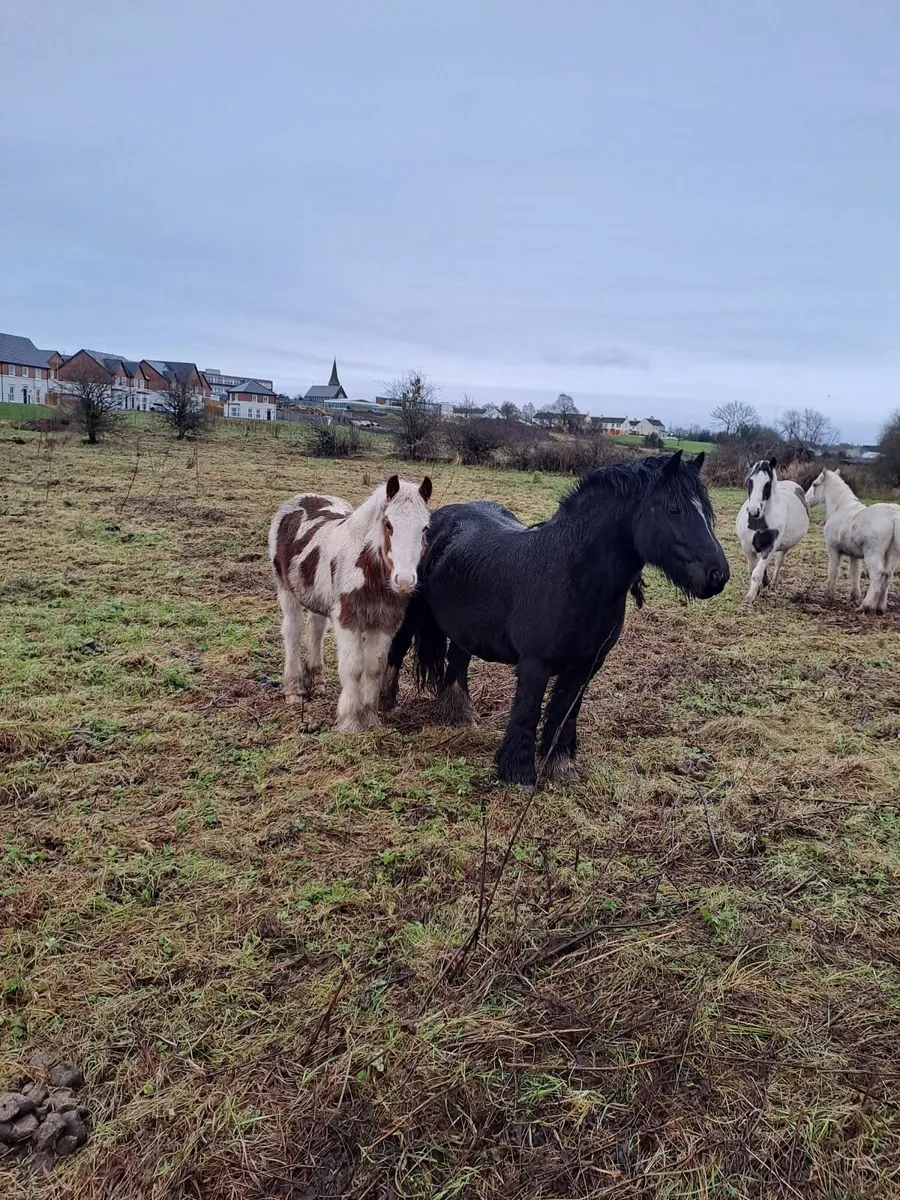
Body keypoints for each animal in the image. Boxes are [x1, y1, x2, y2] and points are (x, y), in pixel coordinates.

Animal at [268, 474, 432, 732]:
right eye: (389, 524)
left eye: (424, 527)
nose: (405, 581)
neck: (367, 570)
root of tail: (304, 497)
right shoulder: (348, 619)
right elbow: (353, 667)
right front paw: (350, 722)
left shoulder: (385, 623)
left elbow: (374, 668)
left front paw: (370, 720)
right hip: (286, 591)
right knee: (292, 633)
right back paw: (294, 690)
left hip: (319, 598)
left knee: (315, 631)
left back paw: (317, 680)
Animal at [382, 452, 729, 786]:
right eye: (673, 508)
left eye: (706, 510)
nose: (718, 575)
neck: (571, 574)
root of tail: (440, 518)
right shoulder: (535, 664)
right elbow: (528, 712)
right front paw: (518, 772)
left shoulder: (586, 666)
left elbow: (564, 712)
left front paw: (560, 767)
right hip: (411, 613)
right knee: (396, 652)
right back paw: (383, 706)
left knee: (458, 660)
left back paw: (460, 716)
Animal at [735, 458, 809, 606]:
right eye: (750, 481)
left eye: (767, 484)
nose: (753, 511)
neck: (759, 522)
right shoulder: (748, 548)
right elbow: (753, 570)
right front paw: (757, 590)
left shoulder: (770, 547)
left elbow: (757, 572)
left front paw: (750, 596)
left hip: (784, 547)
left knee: (778, 563)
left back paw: (772, 584)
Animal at [805, 468, 900, 613]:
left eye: (815, 484)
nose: (805, 500)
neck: (840, 509)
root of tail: (893, 515)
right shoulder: (854, 555)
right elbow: (855, 573)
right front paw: (853, 596)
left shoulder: (833, 549)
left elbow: (833, 570)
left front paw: (828, 594)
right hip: (892, 554)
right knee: (888, 575)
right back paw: (880, 607)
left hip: (873, 553)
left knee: (879, 574)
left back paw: (866, 606)